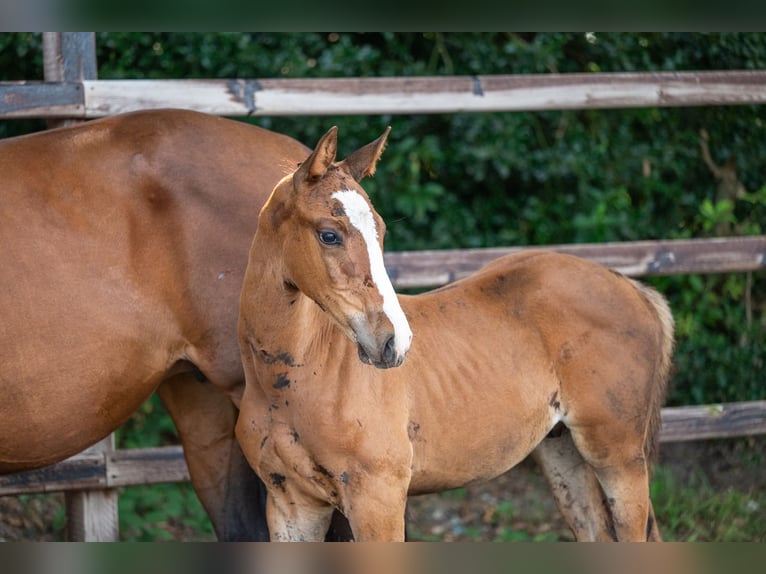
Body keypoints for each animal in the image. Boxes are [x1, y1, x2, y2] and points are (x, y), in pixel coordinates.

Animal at [237, 127, 676, 544]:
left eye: (381, 231)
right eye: (329, 234)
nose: (394, 342)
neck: (293, 380)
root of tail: (634, 288)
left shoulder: (377, 499)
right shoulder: (291, 504)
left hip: (617, 456)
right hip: (561, 449)